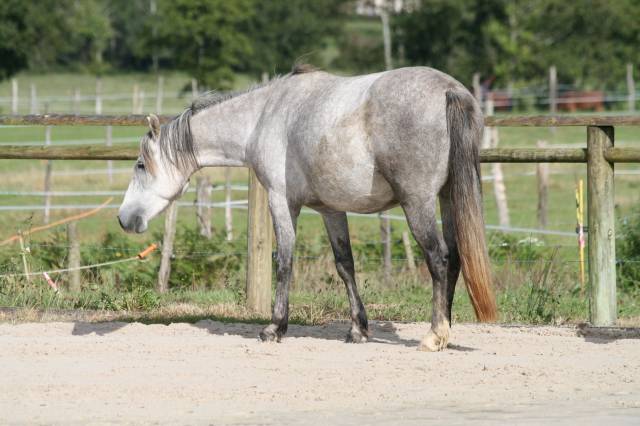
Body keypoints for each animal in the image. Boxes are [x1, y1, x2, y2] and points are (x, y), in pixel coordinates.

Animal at [121, 65, 500, 352]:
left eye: (140, 165)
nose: (124, 218)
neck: (263, 116)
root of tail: (450, 90)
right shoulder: (331, 210)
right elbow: (345, 265)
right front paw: (358, 329)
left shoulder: (280, 201)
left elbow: (284, 260)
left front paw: (275, 327)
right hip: (448, 198)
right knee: (455, 259)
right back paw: (444, 331)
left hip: (417, 203)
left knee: (439, 259)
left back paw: (435, 335)